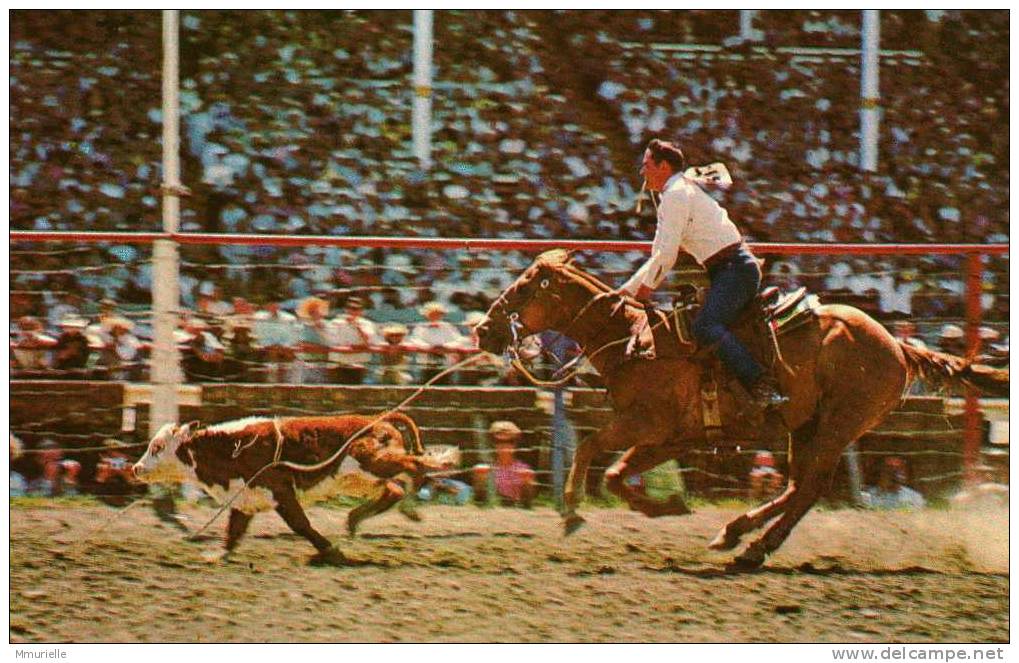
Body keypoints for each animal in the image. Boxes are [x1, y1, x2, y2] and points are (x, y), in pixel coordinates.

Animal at [133, 411, 452, 562]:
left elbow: (300, 525)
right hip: (360, 480)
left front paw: (330, 551)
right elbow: (233, 532)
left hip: (373, 463)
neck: (234, 448)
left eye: (157, 447)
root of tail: (378, 420)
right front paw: (217, 555)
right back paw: (356, 520)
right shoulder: (245, 498)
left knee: (414, 466)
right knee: (393, 490)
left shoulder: (280, 490)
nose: (136, 469)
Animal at [472, 250, 1006, 570]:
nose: (482, 331)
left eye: (524, 286)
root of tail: (896, 344)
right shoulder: (669, 437)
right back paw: (735, 534)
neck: (635, 342)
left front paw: (571, 512)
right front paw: (668, 505)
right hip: (804, 426)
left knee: (809, 487)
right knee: (798, 486)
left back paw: (752, 549)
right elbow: (618, 474)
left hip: (838, 425)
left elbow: (591, 451)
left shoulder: (642, 424)